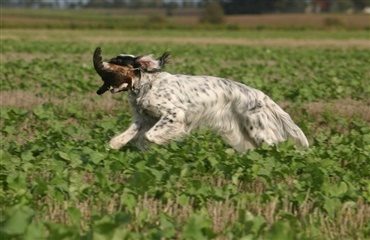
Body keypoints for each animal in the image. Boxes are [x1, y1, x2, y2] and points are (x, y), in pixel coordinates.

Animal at [93, 47, 310, 151]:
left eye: (118, 61)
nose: (102, 64)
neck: (148, 84)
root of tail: (260, 95)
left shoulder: (174, 114)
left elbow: (150, 136)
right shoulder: (143, 118)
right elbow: (122, 137)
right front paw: (117, 146)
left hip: (259, 131)